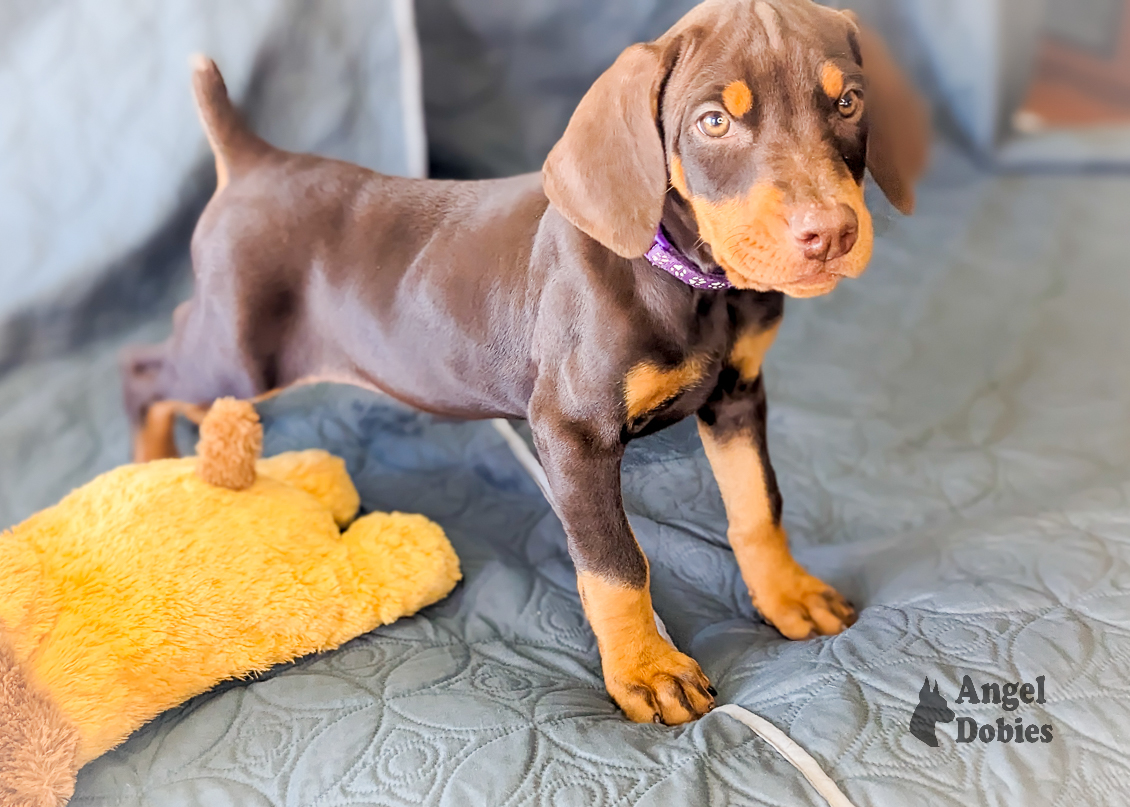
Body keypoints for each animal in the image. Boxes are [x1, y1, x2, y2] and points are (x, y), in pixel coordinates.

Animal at [121, 0, 926, 723]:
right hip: (238, 354)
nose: (830, 233)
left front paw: (787, 594)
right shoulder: (573, 433)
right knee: (144, 370)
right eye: (714, 122)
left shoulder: (738, 393)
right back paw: (146, 465)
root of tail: (255, 160)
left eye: (848, 102)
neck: (690, 285)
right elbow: (615, 563)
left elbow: (758, 505)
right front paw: (648, 670)